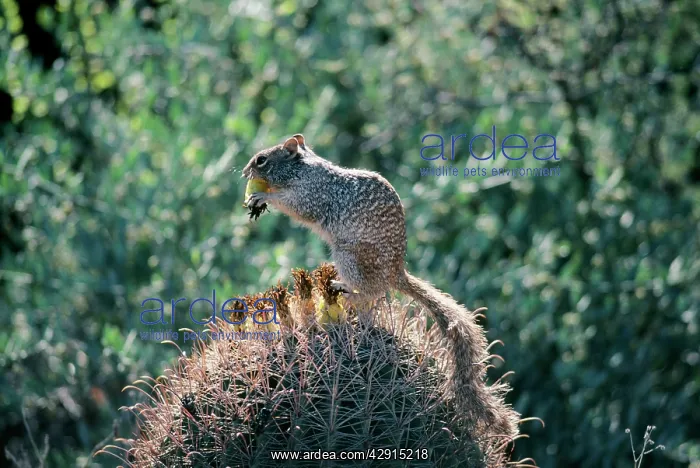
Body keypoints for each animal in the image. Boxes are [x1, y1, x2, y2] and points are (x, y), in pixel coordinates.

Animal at [242, 134, 518, 438]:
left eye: (261, 160)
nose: (243, 172)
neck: (303, 169)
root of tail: (396, 274)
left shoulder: (311, 194)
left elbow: (296, 206)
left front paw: (265, 196)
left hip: (348, 257)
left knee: (372, 292)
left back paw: (345, 289)